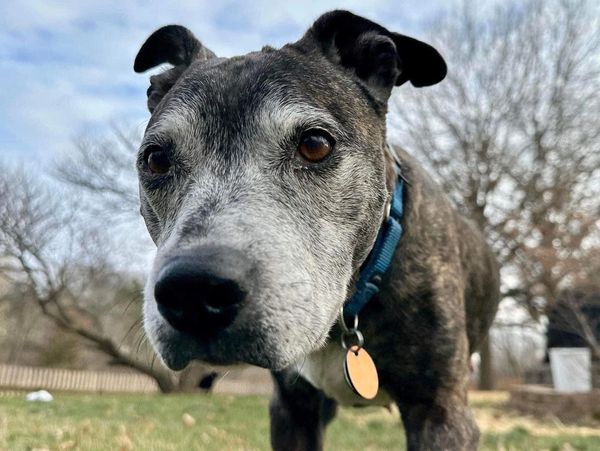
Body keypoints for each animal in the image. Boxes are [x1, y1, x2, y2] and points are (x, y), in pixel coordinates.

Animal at [133, 10, 500, 450]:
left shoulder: (441, 414)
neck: (346, 317)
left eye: (315, 144)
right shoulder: (292, 409)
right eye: (155, 159)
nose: (193, 292)